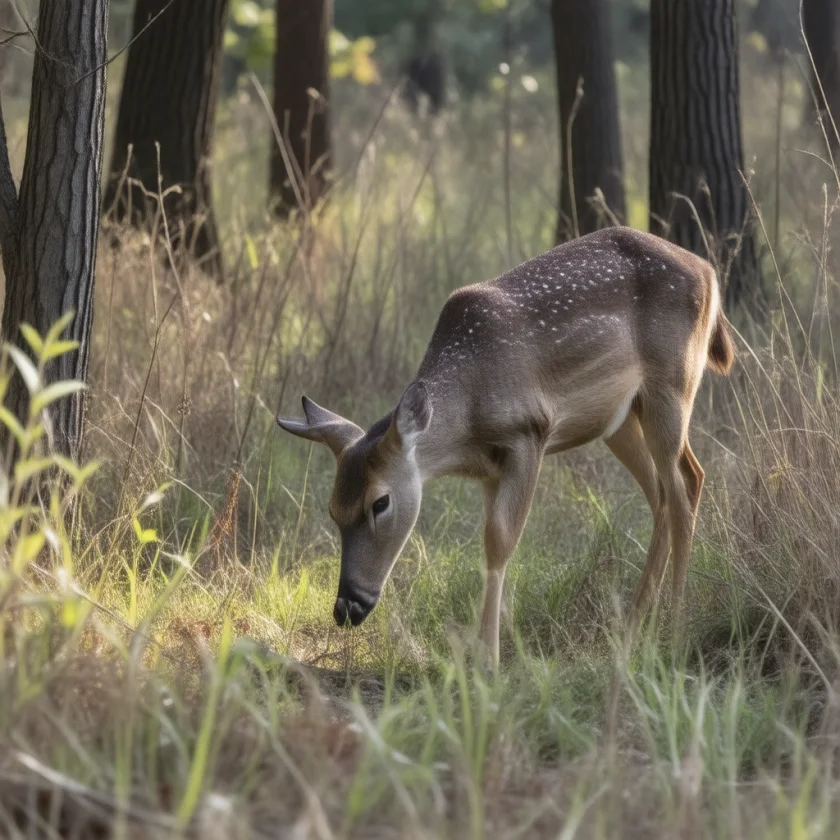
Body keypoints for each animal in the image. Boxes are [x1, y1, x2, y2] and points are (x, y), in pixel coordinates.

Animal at [277, 226, 734, 666]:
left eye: (380, 503)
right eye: (332, 509)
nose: (347, 608)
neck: (468, 412)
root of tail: (709, 272)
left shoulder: (529, 433)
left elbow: (499, 541)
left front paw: (489, 662)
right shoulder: (487, 469)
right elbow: (488, 545)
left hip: (671, 385)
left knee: (684, 486)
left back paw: (675, 627)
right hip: (619, 419)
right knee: (666, 490)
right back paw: (634, 627)